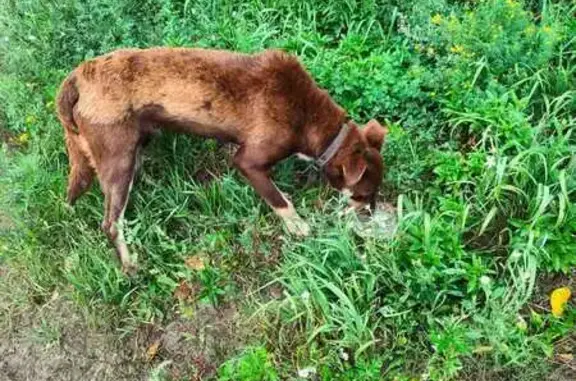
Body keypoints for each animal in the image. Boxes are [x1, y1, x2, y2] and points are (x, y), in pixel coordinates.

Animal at [56, 48, 388, 274]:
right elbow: (280, 200)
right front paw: (298, 227)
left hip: (130, 141)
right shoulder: (248, 161)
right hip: (117, 156)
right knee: (111, 223)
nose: (371, 214)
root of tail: (77, 78)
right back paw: (129, 265)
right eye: (364, 194)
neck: (310, 117)